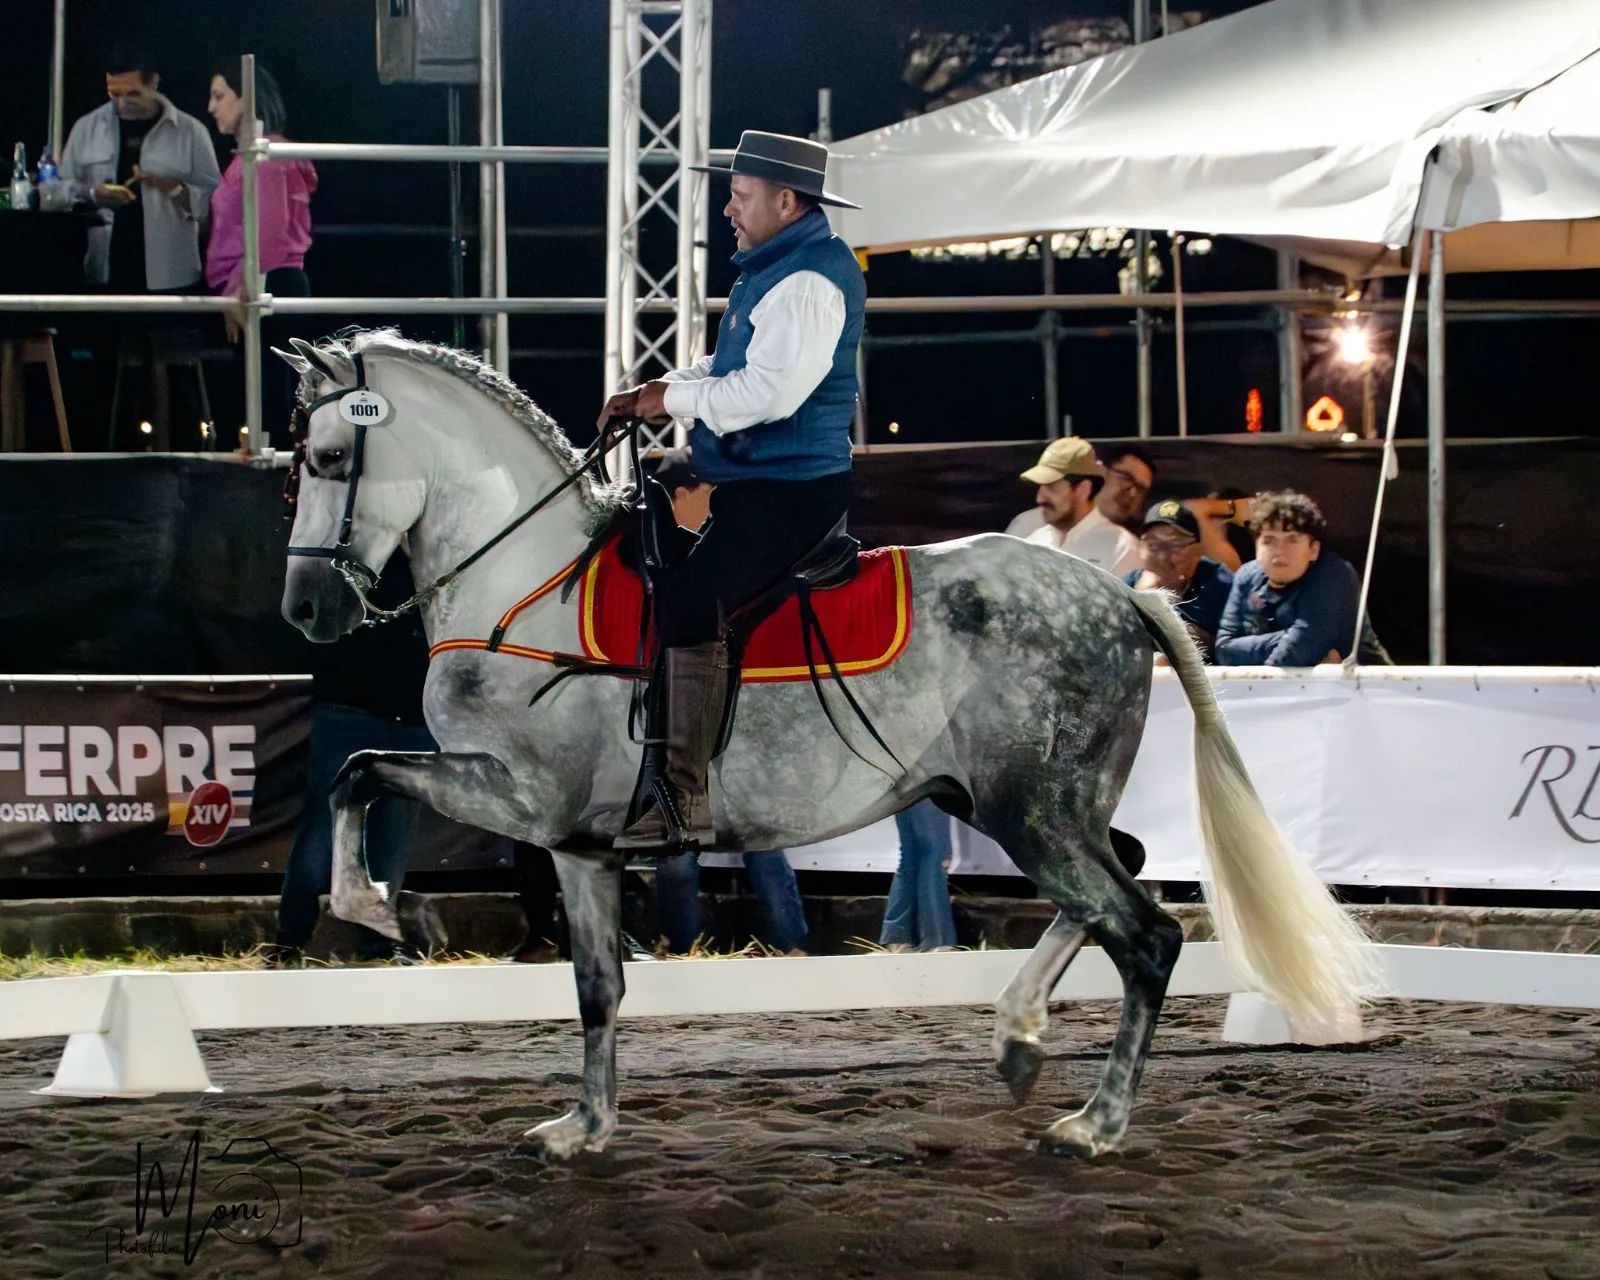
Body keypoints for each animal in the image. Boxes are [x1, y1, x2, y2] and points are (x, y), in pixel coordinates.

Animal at [277, 329, 1373, 1162]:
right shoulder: (579, 844)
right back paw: (1018, 1036)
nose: (306, 610)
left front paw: (384, 907)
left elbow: (357, 775)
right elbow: (597, 986)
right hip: (1026, 803)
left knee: (1145, 934)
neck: (524, 587)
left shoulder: (519, 796)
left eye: (328, 459)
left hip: (1032, 812)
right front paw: (583, 1127)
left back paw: (1092, 1123)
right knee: (1127, 879)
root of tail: (1121, 594)